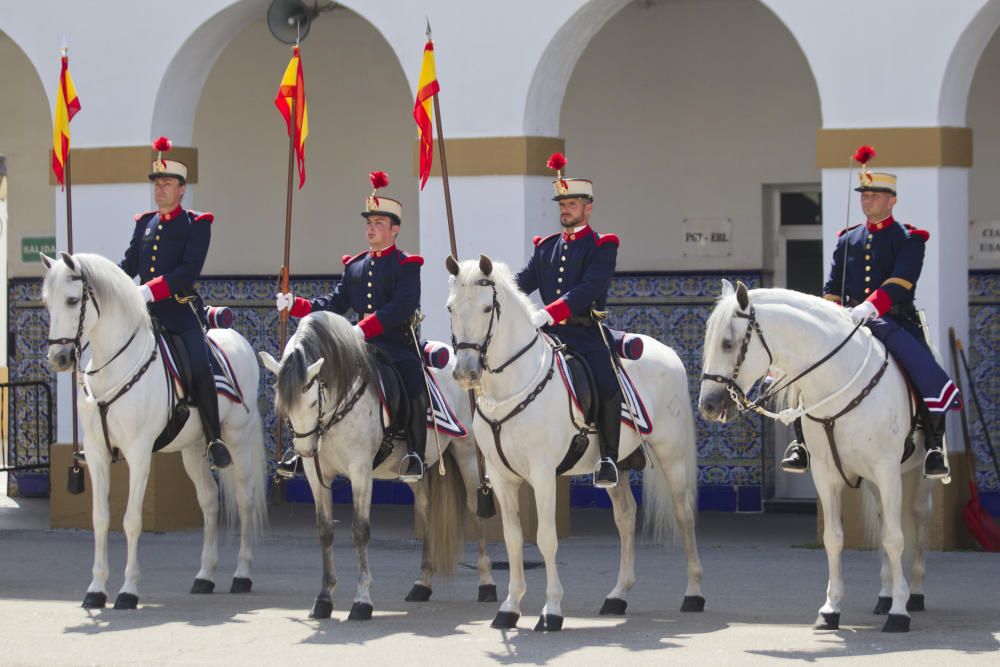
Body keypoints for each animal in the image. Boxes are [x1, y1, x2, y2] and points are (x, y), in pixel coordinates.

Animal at [41, 252, 268, 612]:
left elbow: (132, 520)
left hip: (237, 439)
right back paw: (205, 576)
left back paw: (242, 574)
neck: (113, 367)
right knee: (209, 501)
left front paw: (128, 591)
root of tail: (238, 339)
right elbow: (100, 519)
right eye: (47, 303)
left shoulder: (139, 453)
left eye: (73, 300)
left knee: (245, 499)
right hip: (193, 448)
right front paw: (96, 589)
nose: (59, 358)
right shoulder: (97, 453)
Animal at [258, 312, 492, 620]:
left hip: (467, 455)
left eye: (311, 401)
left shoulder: (360, 471)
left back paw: (486, 584)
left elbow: (360, 531)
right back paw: (422, 584)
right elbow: (325, 531)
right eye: (283, 404)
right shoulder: (315, 475)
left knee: (476, 509)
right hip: (419, 471)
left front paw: (362, 600)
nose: (306, 450)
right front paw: (324, 598)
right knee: (427, 510)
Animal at [446, 254, 704, 632]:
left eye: (485, 308)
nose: (465, 372)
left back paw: (694, 593)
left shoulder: (541, 474)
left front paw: (552, 610)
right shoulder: (502, 478)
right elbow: (512, 539)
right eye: (450, 307)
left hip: (672, 456)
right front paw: (510, 607)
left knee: (684, 514)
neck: (510, 388)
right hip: (616, 464)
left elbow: (545, 538)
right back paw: (617, 596)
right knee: (626, 517)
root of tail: (666, 351)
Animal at [700, 280, 932, 636]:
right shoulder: (826, 475)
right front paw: (831, 609)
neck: (838, 381)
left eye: (727, 343)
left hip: (915, 475)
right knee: (883, 521)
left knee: (918, 520)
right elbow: (834, 539)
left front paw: (899, 612)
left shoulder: (887, 470)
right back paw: (884, 595)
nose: (708, 405)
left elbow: (895, 539)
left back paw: (914, 594)